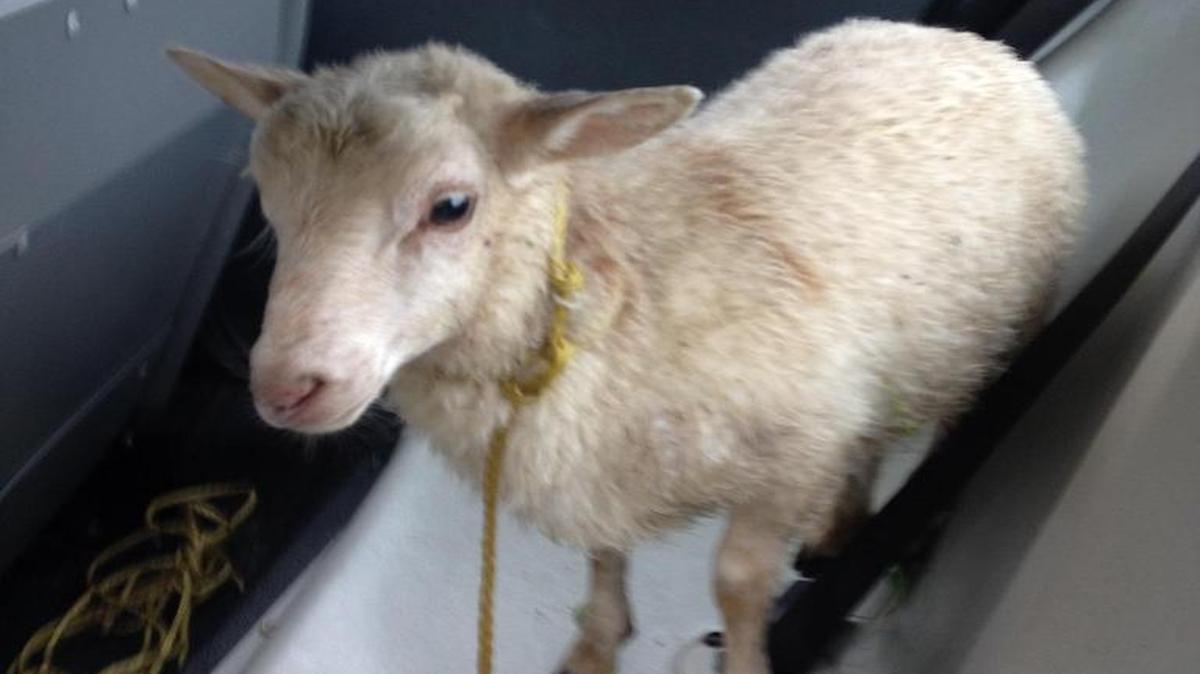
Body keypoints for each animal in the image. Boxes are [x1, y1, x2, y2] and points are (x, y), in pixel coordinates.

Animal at [169, 18, 1084, 674]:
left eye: (452, 206)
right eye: (269, 203)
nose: (285, 388)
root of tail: (967, 42)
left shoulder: (786, 452)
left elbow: (736, 584)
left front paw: (744, 664)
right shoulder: (597, 460)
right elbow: (603, 559)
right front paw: (596, 645)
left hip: (1006, 316)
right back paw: (840, 526)